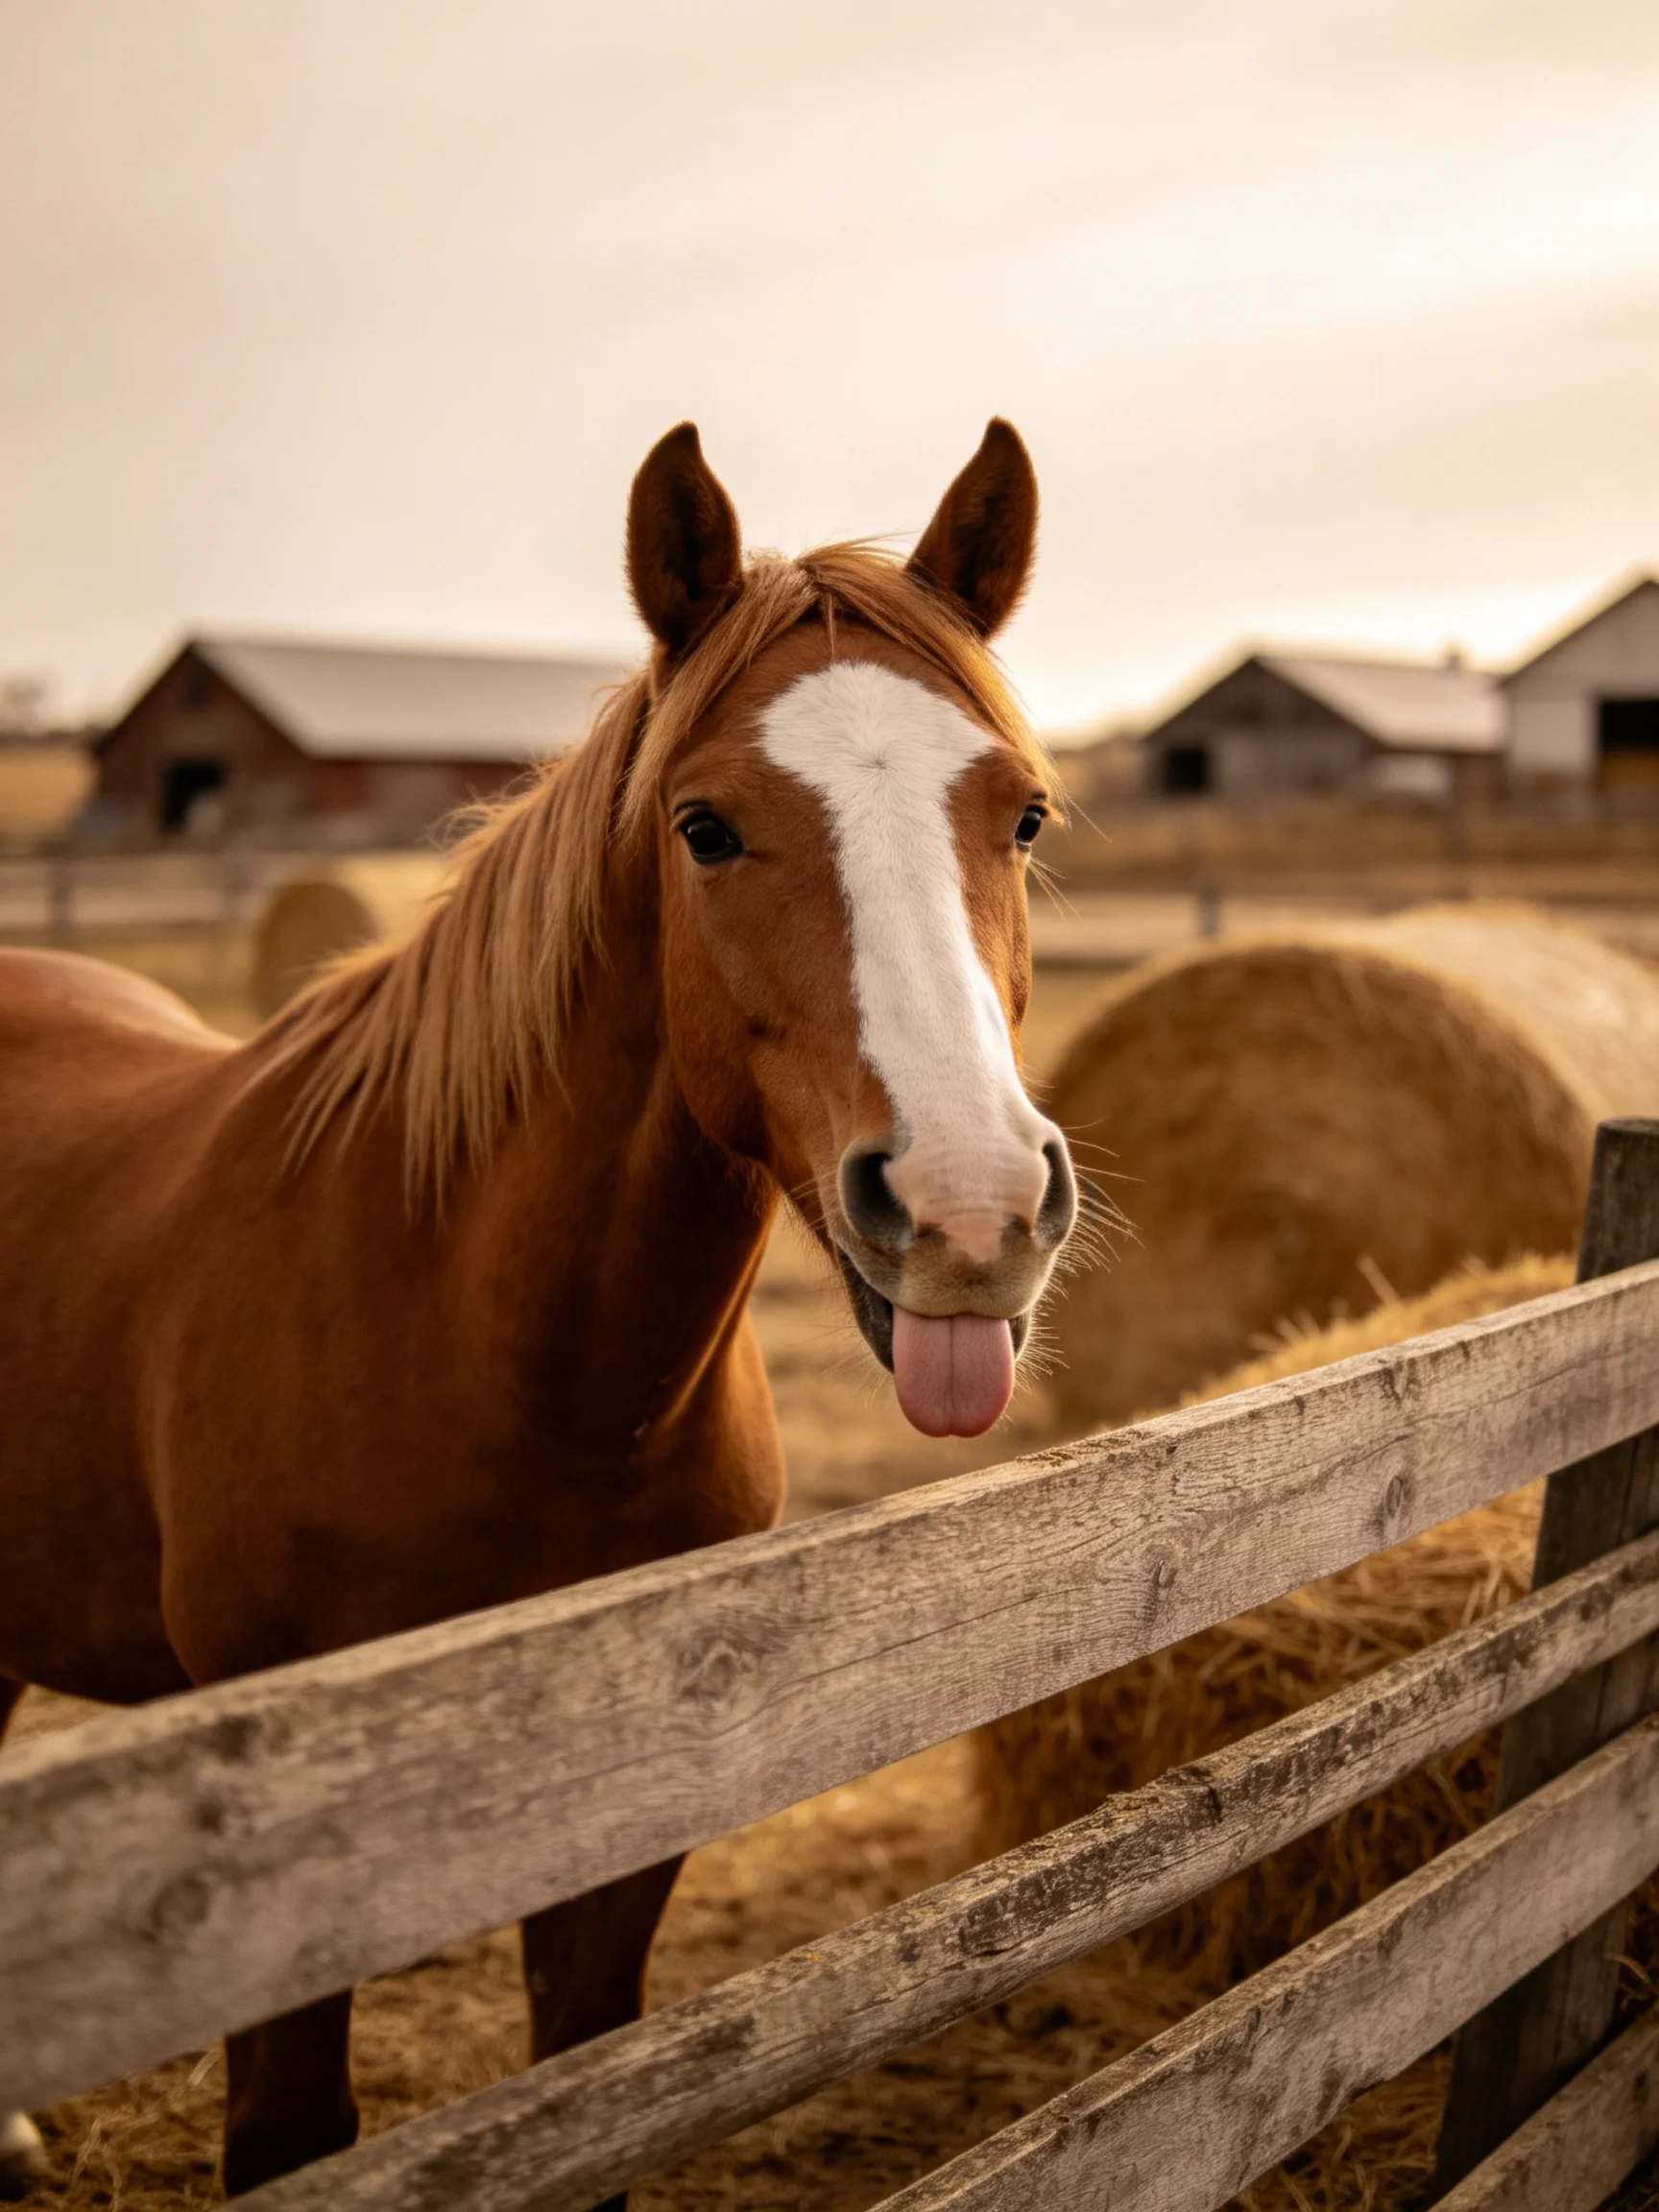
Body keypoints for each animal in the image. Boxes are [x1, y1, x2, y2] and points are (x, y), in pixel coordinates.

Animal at [0, 418, 1078, 2201]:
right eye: (704, 826)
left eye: (1027, 814)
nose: (970, 1207)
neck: (508, 1364)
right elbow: (292, 2134)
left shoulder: (626, 1821)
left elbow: (591, 2086)